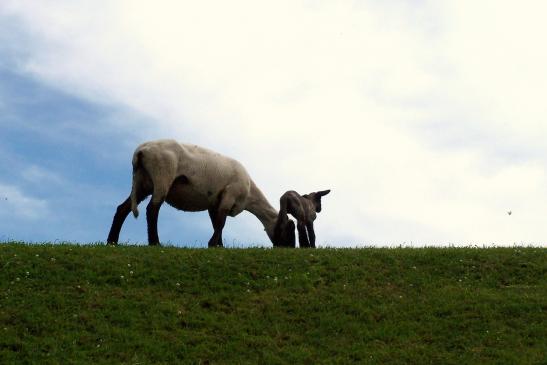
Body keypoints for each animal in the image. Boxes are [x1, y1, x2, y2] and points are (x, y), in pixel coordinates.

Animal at [106, 138, 296, 246]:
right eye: (289, 229)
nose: (289, 248)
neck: (250, 195)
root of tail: (140, 152)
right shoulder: (229, 195)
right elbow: (221, 223)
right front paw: (212, 244)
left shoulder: (215, 203)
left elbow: (216, 223)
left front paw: (219, 246)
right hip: (162, 177)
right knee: (152, 210)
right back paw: (155, 242)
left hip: (142, 182)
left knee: (123, 208)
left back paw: (112, 241)